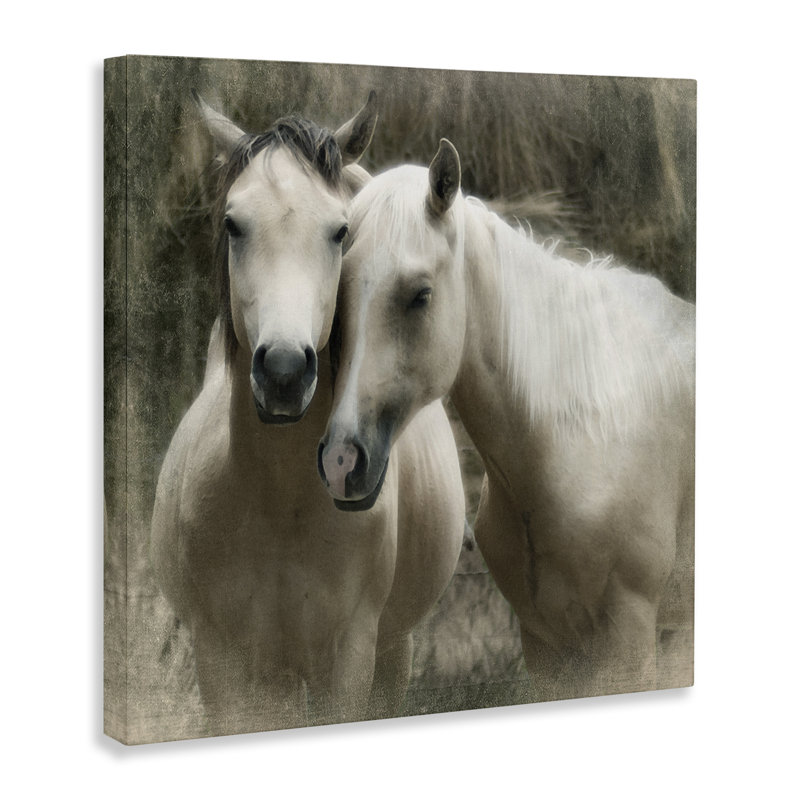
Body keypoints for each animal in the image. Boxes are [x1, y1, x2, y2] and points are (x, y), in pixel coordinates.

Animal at [150, 98, 465, 736]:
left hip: (392, 651)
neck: (280, 505)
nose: (285, 370)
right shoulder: (222, 664)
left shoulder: (349, 660)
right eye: (233, 224)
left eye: (340, 231)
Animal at [319, 139, 695, 701]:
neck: (584, 440)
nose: (342, 460)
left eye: (420, 295)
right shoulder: (546, 645)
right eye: (337, 298)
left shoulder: (629, 643)